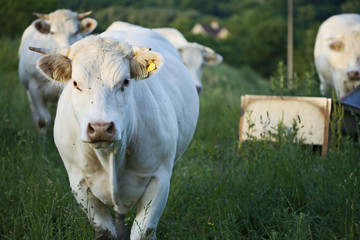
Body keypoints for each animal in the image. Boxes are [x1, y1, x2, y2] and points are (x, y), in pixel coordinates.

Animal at [30, 27, 200, 238]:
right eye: (76, 83)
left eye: (125, 82)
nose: (100, 127)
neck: (110, 156)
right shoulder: (79, 182)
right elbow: (104, 232)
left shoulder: (159, 179)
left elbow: (144, 231)